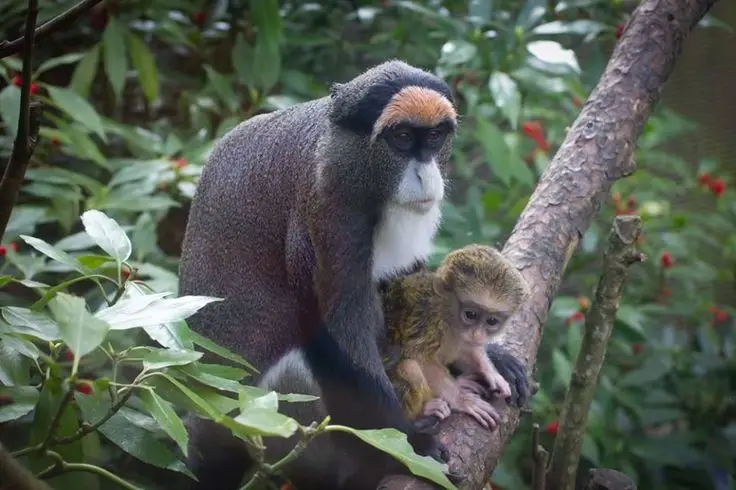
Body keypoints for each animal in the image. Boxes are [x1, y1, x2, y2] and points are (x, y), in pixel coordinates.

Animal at [379, 244, 530, 431]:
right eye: (470, 315)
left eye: (492, 321)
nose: (477, 334)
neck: (450, 320)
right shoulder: (429, 322)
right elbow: (418, 358)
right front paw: (461, 399)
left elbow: (468, 348)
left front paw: (491, 372)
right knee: (410, 367)